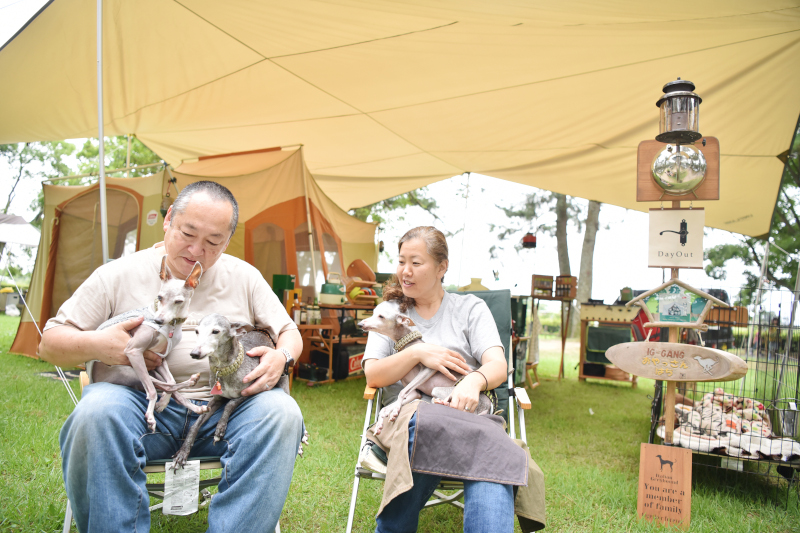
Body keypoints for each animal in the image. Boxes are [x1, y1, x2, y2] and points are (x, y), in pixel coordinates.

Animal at [89, 255, 206, 432]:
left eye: (178, 301)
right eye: (160, 297)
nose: (158, 321)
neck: (172, 325)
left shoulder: (159, 358)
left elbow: (170, 381)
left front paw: (163, 403)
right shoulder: (134, 351)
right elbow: (153, 390)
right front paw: (151, 414)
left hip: (145, 369)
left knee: (167, 385)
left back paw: (195, 405)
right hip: (128, 369)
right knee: (157, 385)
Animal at [170, 314, 308, 468]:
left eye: (215, 331)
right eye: (196, 331)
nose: (194, 353)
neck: (225, 370)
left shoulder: (250, 390)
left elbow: (230, 404)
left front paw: (220, 429)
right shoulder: (217, 398)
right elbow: (195, 425)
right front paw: (183, 453)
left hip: (283, 384)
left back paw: (301, 442)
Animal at [358, 298, 494, 434]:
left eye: (381, 316)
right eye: (373, 313)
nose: (360, 324)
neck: (408, 343)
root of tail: (488, 407)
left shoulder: (430, 368)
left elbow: (401, 392)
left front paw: (395, 410)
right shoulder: (415, 392)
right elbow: (386, 407)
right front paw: (382, 421)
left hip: (441, 390)